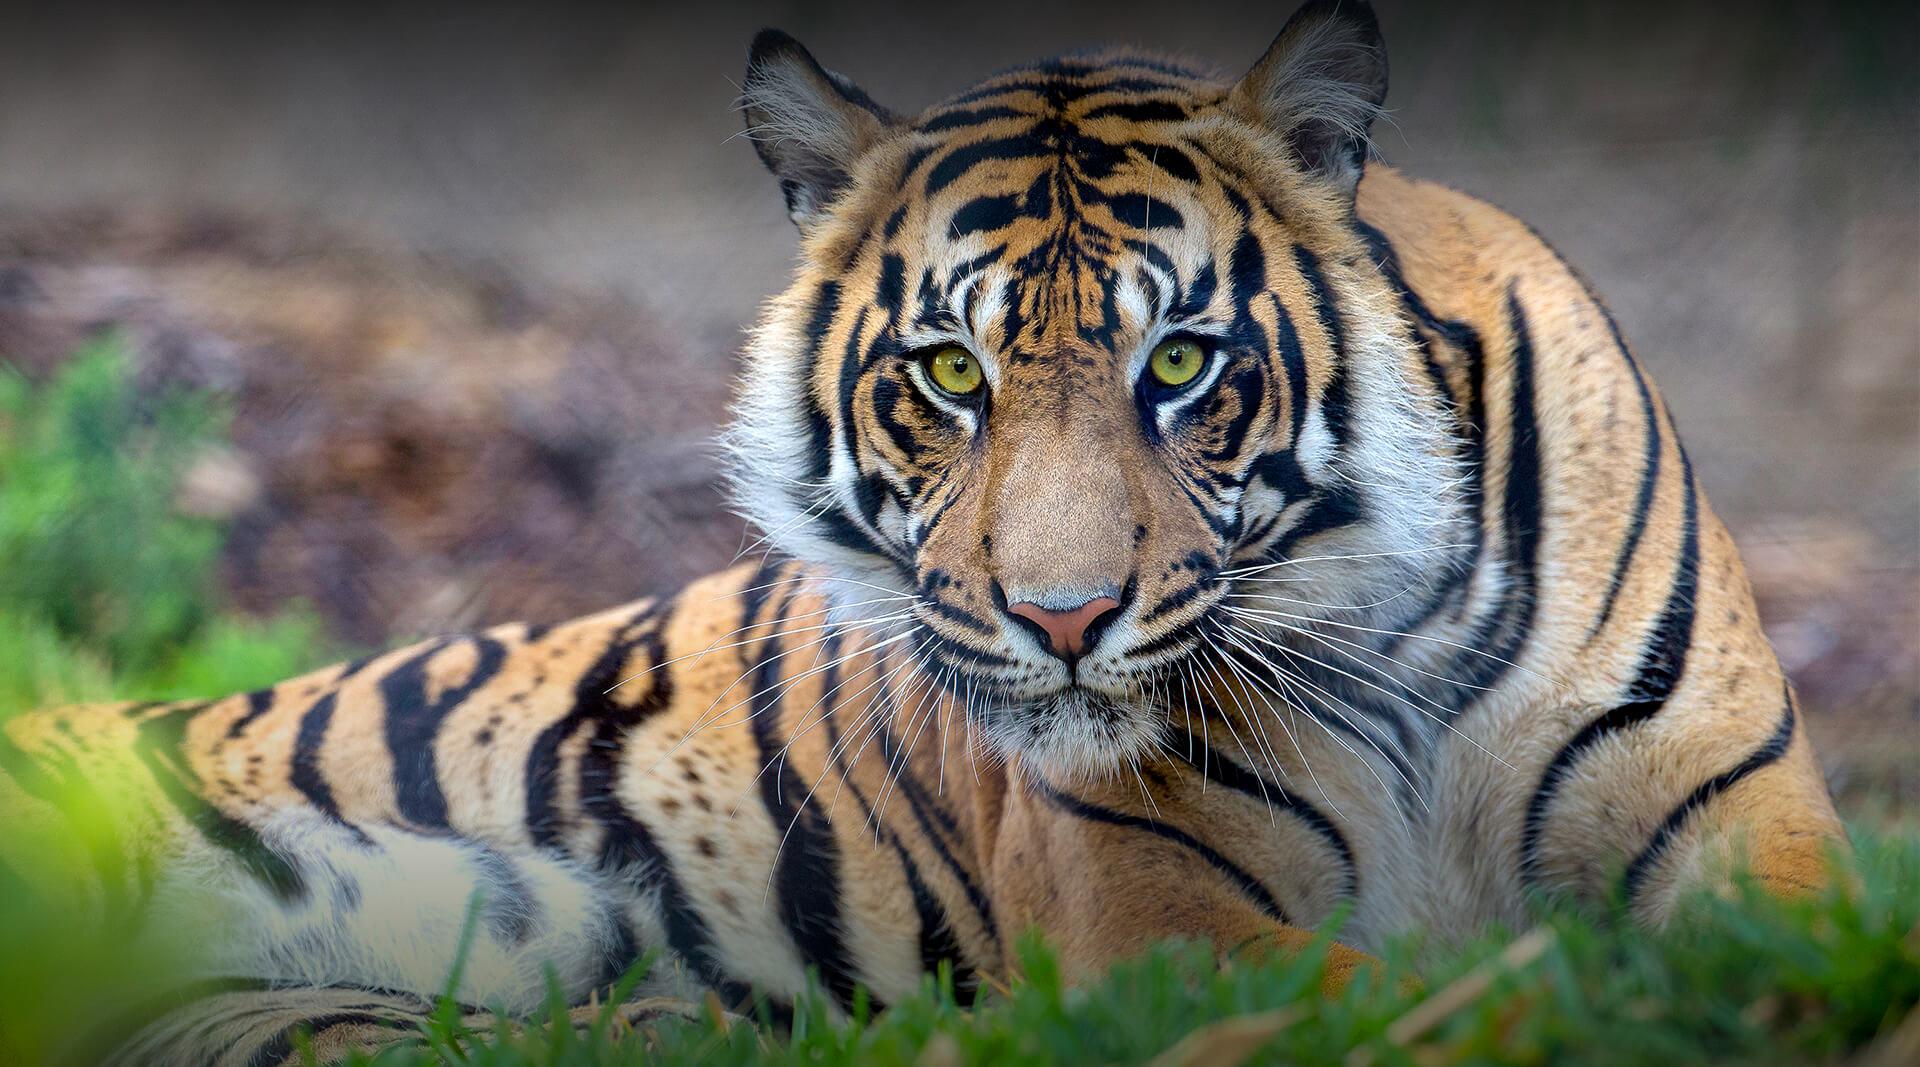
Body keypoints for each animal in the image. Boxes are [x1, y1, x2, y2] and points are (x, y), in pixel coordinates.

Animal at [0, 2, 1847, 1063]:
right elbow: (1394, 992)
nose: (1063, 618)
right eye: (949, 374)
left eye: (1182, 364)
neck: (1384, 641)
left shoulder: (1751, 824)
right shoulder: (1160, 920)